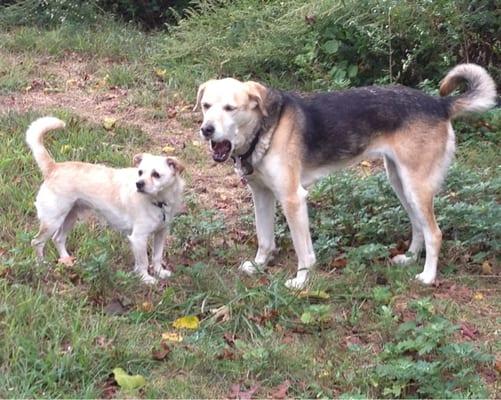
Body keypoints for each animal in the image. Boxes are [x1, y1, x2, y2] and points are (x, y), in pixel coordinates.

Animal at [25, 116, 186, 284]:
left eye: (156, 174)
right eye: (140, 172)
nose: (139, 184)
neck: (159, 202)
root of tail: (53, 167)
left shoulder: (161, 233)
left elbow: (157, 256)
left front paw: (160, 272)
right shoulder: (139, 238)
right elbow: (143, 261)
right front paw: (146, 278)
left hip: (70, 217)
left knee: (58, 239)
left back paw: (67, 261)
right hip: (52, 221)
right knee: (37, 242)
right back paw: (42, 266)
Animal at [193, 64, 494, 290]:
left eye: (230, 108)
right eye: (206, 106)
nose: (206, 130)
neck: (265, 128)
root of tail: (439, 103)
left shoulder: (292, 199)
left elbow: (304, 251)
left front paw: (302, 281)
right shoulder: (262, 195)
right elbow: (264, 238)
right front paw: (259, 265)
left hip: (415, 187)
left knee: (434, 233)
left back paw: (428, 276)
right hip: (400, 183)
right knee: (418, 226)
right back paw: (409, 259)